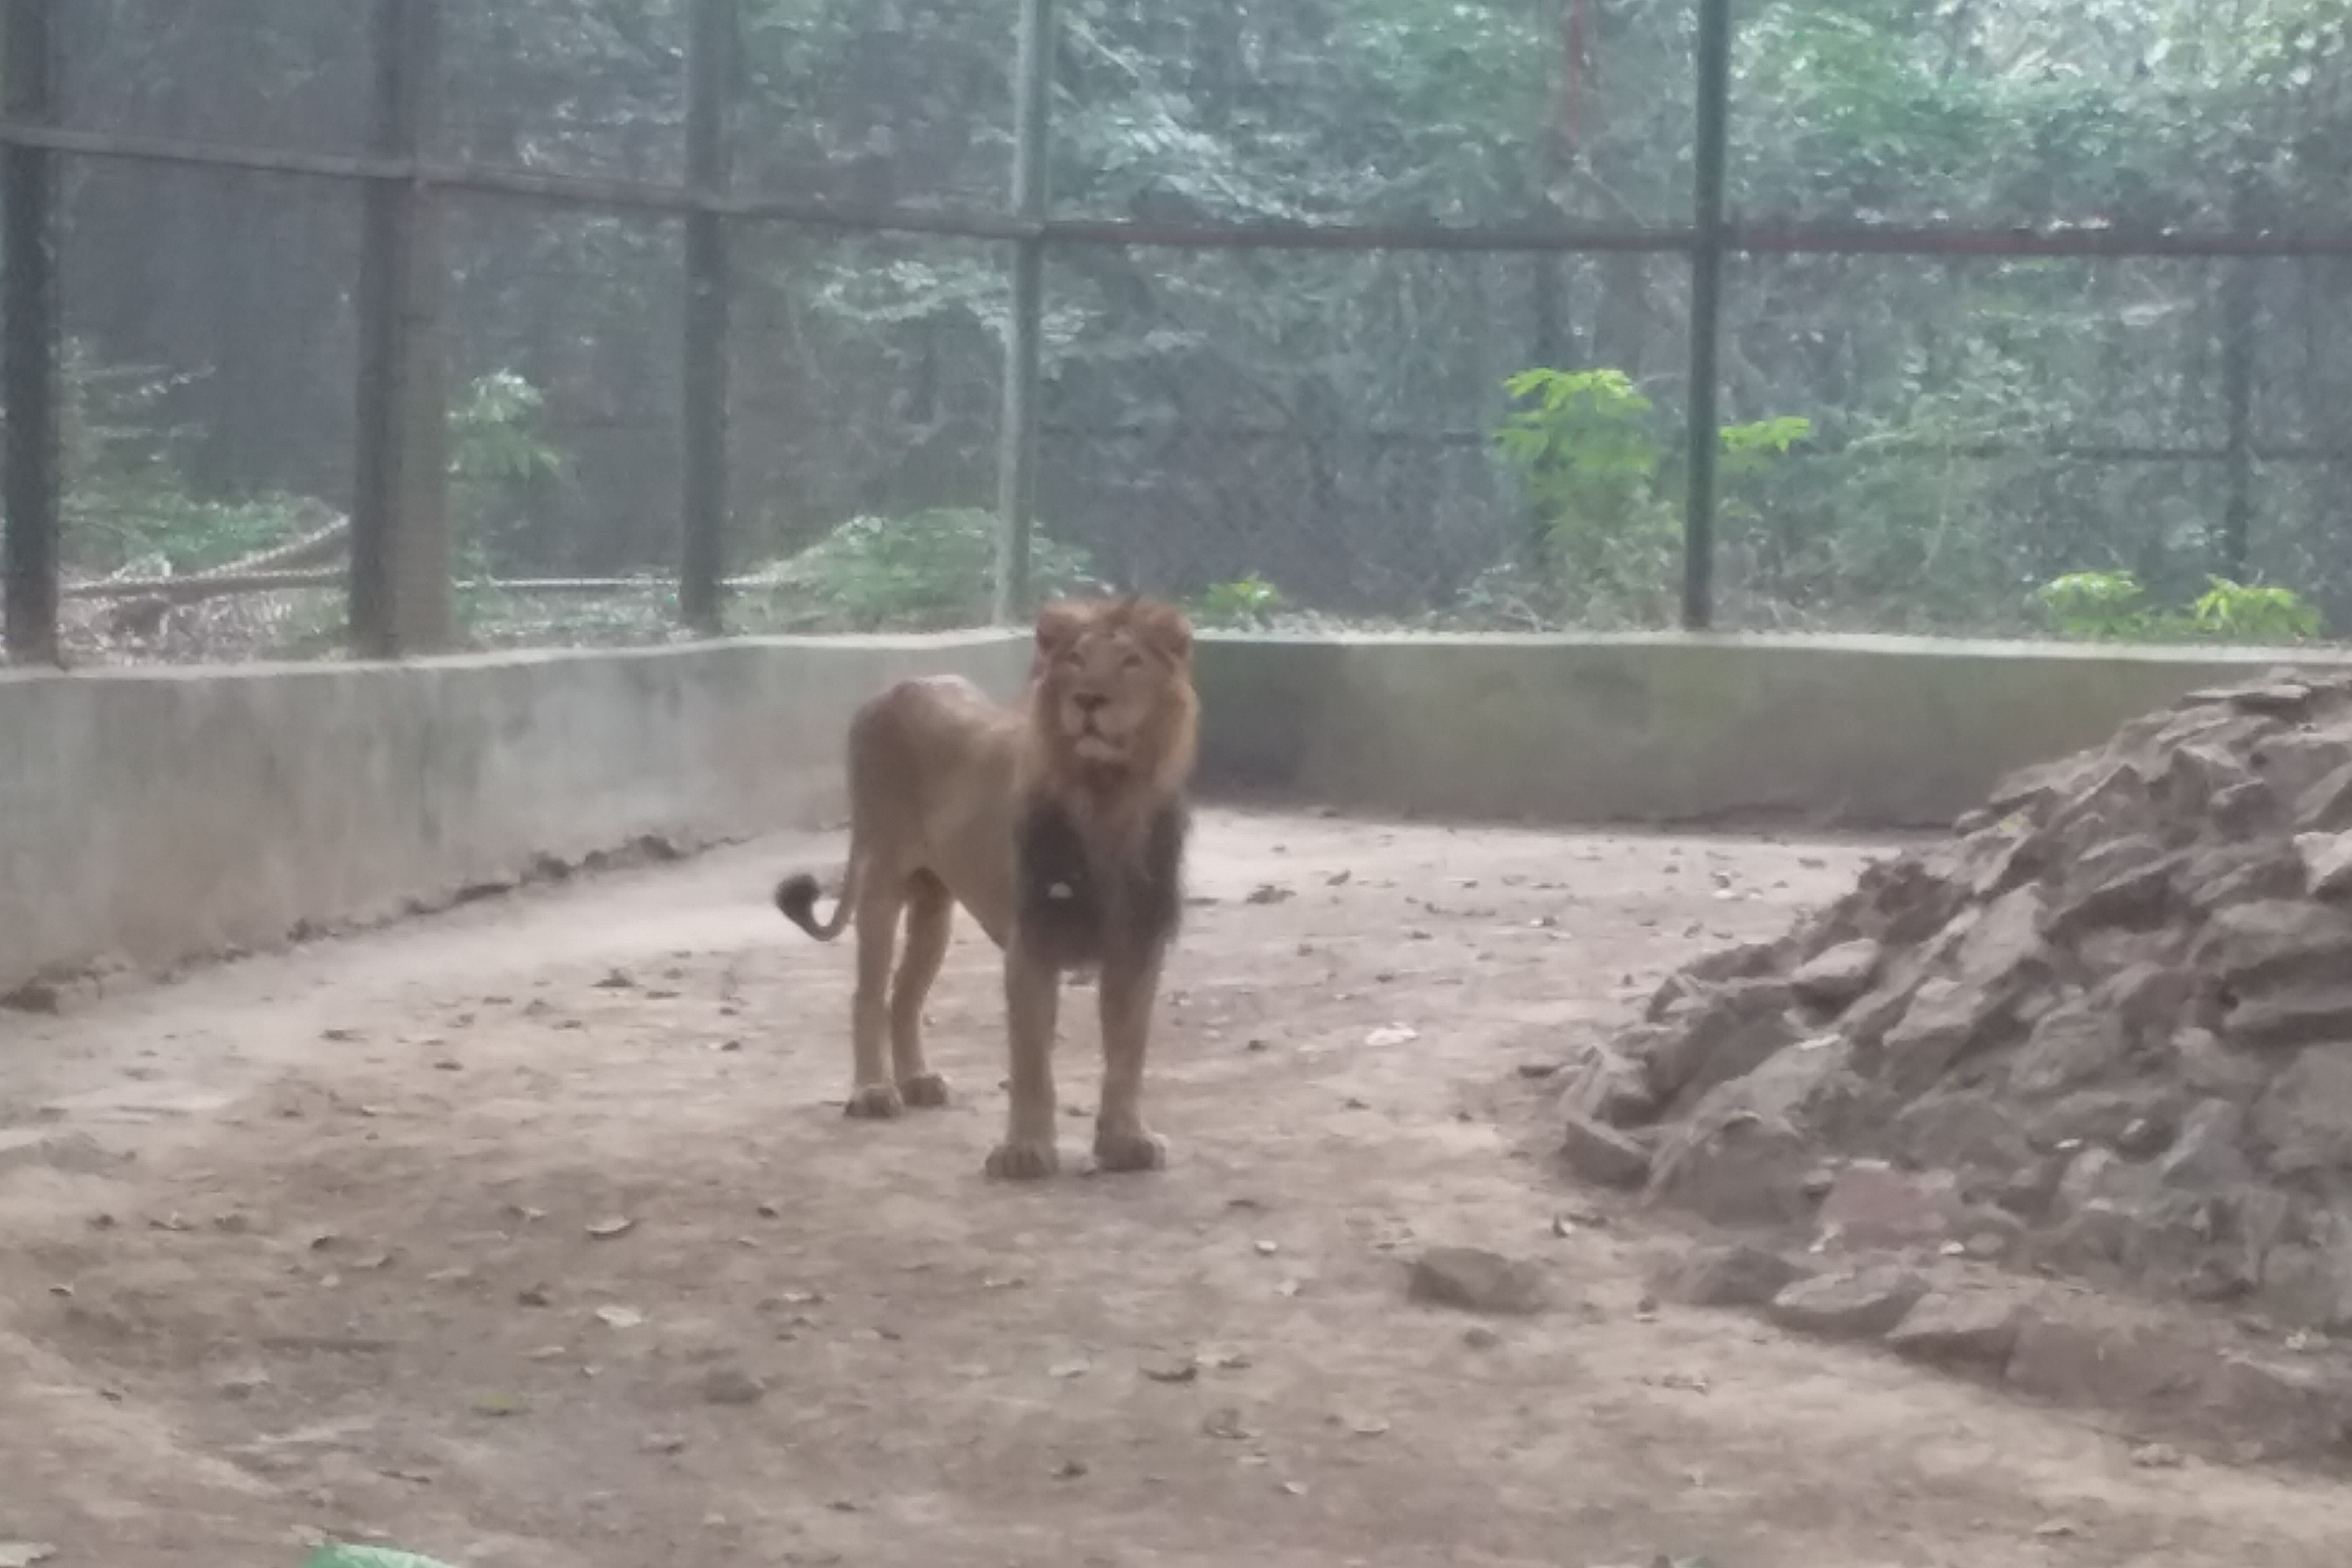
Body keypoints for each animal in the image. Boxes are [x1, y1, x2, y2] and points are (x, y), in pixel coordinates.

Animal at [780, 597, 1204, 1175]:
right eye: (1076, 659)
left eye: (1131, 662)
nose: (1089, 699)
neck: (1105, 797)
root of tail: (893, 690)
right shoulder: (1032, 943)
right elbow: (1031, 1062)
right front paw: (1025, 1152)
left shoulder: (1138, 944)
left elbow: (1128, 1054)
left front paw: (1126, 1142)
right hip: (881, 873)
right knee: (867, 994)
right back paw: (873, 1091)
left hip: (934, 906)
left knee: (905, 995)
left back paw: (918, 1081)